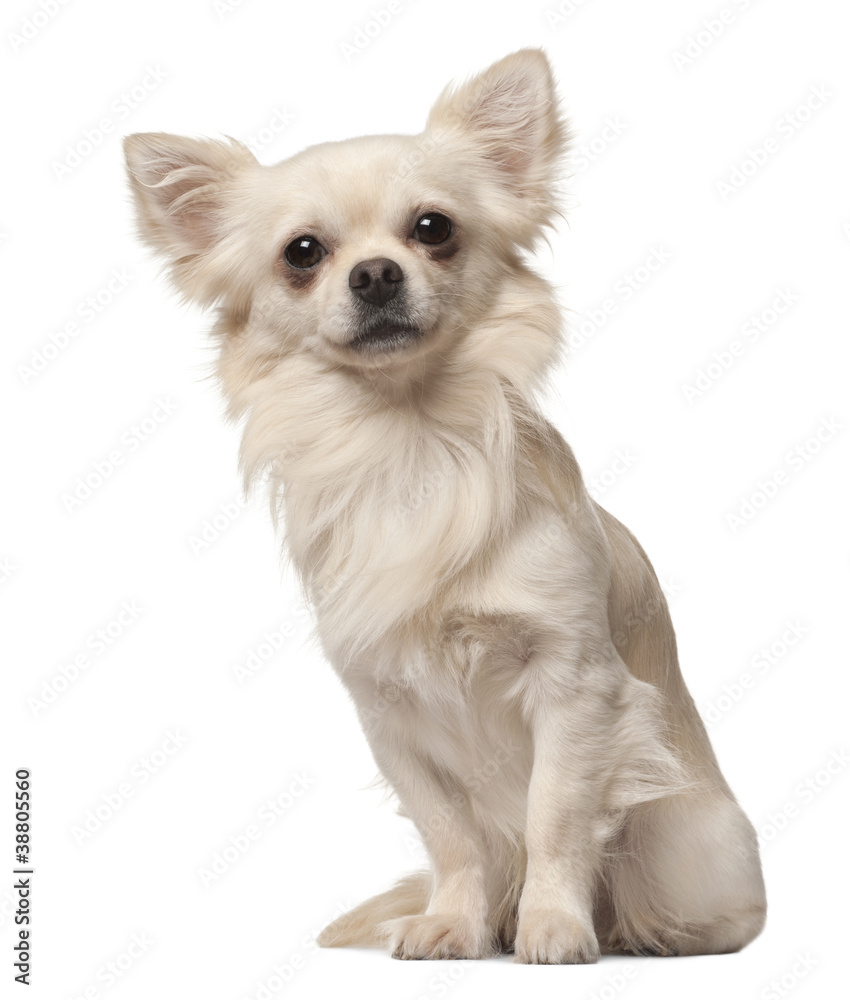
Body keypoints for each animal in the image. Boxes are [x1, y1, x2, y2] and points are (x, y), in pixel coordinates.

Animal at [122, 47, 764, 960]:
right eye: (302, 253)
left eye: (434, 229)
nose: (376, 273)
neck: (410, 438)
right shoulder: (389, 714)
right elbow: (451, 834)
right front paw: (453, 925)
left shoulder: (576, 687)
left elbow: (555, 816)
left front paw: (555, 927)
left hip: (691, 849)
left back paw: (632, 932)